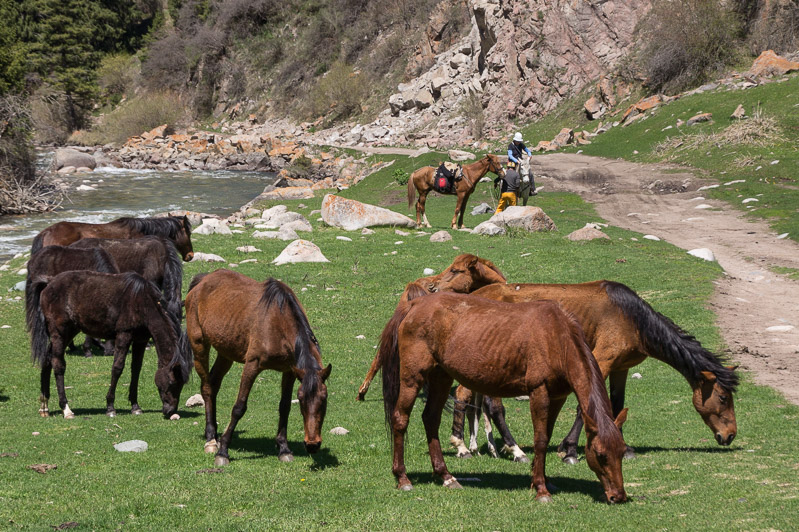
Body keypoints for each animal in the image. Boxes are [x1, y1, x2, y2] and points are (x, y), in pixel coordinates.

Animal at [27, 272, 192, 418]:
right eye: (172, 382)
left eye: (182, 384)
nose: (170, 410)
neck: (142, 300)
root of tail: (49, 283)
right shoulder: (124, 335)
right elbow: (117, 368)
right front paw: (110, 407)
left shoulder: (140, 339)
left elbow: (136, 370)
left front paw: (135, 406)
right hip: (59, 333)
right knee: (58, 364)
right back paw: (66, 409)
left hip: (69, 332)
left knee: (47, 360)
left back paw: (44, 406)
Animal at [184, 270, 332, 466]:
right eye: (301, 400)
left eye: (324, 399)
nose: (312, 444)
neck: (279, 321)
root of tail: (203, 281)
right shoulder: (252, 365)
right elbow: (239, 408)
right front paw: (223, 452)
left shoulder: (290, 371)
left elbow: (284, 406)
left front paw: (284, 448)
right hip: (199, 344)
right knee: (207, 387)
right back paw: (211, 440)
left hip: (226, 352)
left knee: (213, 384)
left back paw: (214, 433)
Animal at [378, 290, 628, 502]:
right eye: (601, 455)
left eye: (622, 452)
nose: (618, 496)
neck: (558, 337)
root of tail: (415, 304)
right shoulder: (539, 392)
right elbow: (540, 440)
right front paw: (541, 488)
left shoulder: (557, 397)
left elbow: (546, 436)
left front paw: (541, 479)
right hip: (413, 377)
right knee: (400, 419)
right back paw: (403, 478)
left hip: (441, 376)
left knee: (430, 419)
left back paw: (446, 476)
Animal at [434, 252, 740, 462]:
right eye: (723, 398)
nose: (729, 435)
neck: (633, 318)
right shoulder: (601, 361)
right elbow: (586, 407)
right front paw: (569, 449)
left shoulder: (620, 368)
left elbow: (617, 404)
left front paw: (623, 447)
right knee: (482, 402)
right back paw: (495, 448)